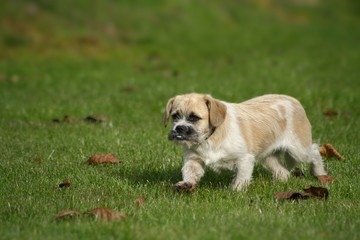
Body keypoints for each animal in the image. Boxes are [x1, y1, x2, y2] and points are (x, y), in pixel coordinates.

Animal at [165, 93, 328, 191]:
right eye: (174, 116)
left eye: (194, 118)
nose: (179, 128)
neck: (210, 138)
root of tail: (295, 101)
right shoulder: (193, 159)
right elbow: (190, 172)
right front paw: (186, 184)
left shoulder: (244, 159)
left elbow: (242, 177)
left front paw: (236, 191)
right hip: (267, 157)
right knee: (283, 172)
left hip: (298, 149)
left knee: (315, 151)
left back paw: (320, 174)